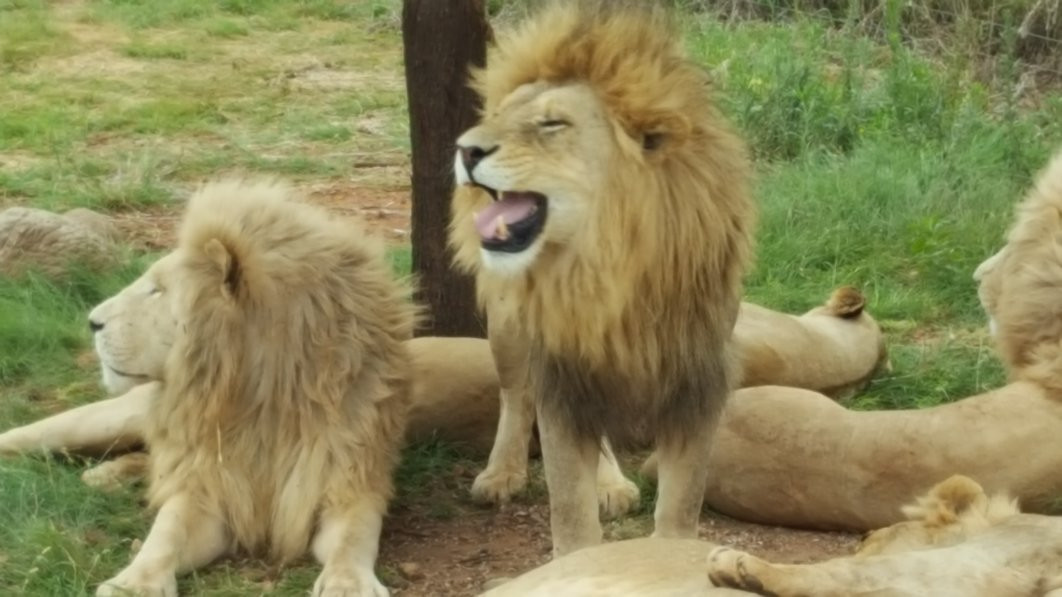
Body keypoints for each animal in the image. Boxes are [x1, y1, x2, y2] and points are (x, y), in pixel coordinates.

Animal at [90, 180, 416, 597]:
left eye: (157, 291)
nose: (91, 321)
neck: (256, 400)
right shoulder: (207, 490)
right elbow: (165, 533)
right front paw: (132, 583)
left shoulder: (347, 483)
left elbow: (353, 536)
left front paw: (348, 583)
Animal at [447, 1, 755, 556]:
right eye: (499, 115)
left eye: (552, 123)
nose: (464, 150)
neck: (607, 272)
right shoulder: (564, 378)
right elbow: (570, 506)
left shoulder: (699, 378)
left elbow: (681, 503)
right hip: (509, 330)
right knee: (514, 395)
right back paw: (502, 473)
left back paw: (611, 484)